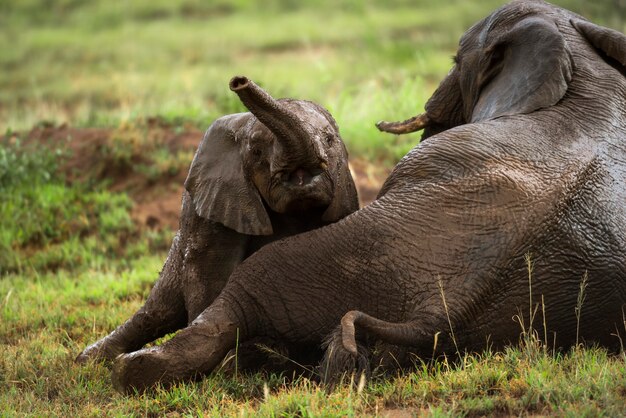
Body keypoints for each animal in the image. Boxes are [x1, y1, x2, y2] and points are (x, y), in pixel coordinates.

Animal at [77, 76, 358, 364]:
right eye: (257, 152)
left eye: (329, 139)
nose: (239, 82)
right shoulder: (212, 204)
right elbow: (210, 272)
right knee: (159, 309)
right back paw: (89, 360)